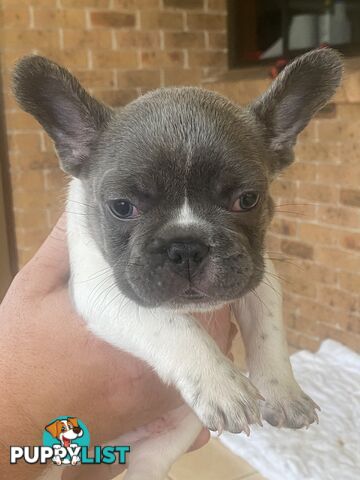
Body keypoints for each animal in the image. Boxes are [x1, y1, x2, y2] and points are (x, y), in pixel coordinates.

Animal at [11, 49, 344, 480]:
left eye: (248, 200)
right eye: (122, 207)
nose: (186, 247)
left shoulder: (259, 276)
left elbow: (269, 331)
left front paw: (283, 392)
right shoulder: (101, 292)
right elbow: (172, 324)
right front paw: (223, 385)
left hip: (181, 425)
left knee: (149, 462)